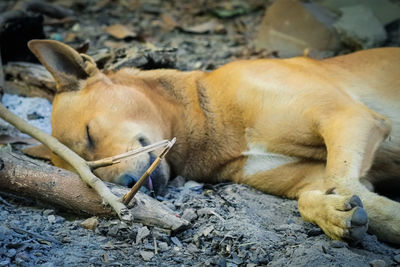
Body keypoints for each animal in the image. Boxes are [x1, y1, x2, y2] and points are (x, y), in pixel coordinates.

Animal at [26, 39, 398, 245]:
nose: (130, 185)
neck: (213, 119)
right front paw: (335, 215)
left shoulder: (348, 116)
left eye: (90, 134)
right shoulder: (321, 172)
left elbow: (339, 179)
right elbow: (313, 196)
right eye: (93, 173)